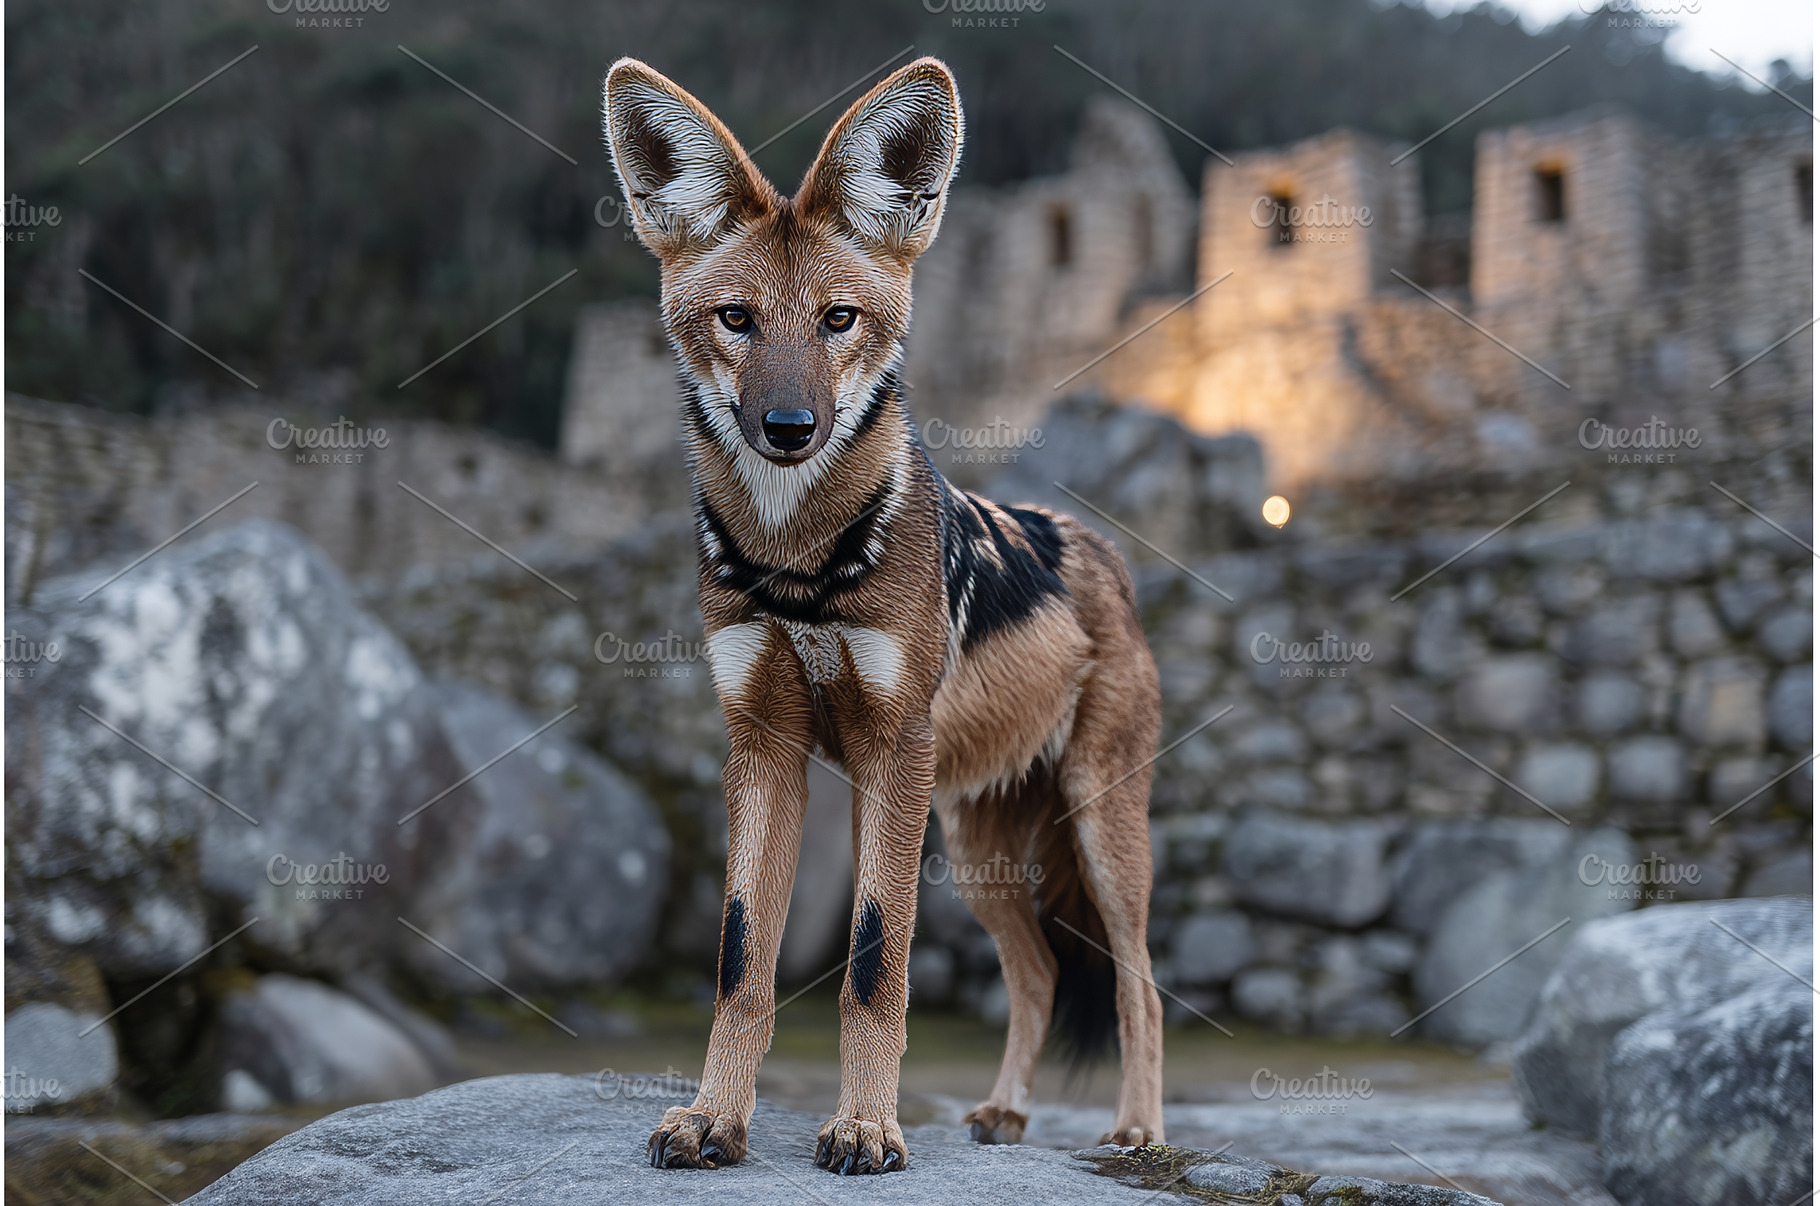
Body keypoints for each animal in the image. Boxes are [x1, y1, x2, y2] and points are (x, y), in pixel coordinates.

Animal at [601, 54, 1164, 1176]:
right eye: (737, 320)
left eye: (837, 320)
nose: (788, 427)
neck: (798, 568)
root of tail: (1099, 551)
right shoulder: (765, 751)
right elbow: (742, 963)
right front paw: (714, 1120)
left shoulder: (889, 753)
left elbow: (873, 967)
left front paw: (866, 1129)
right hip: (977, 847)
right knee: (1039, 974)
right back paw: (1001, 1117)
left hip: (1093, 830)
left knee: (1140, 982)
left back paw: (1137, 1133)